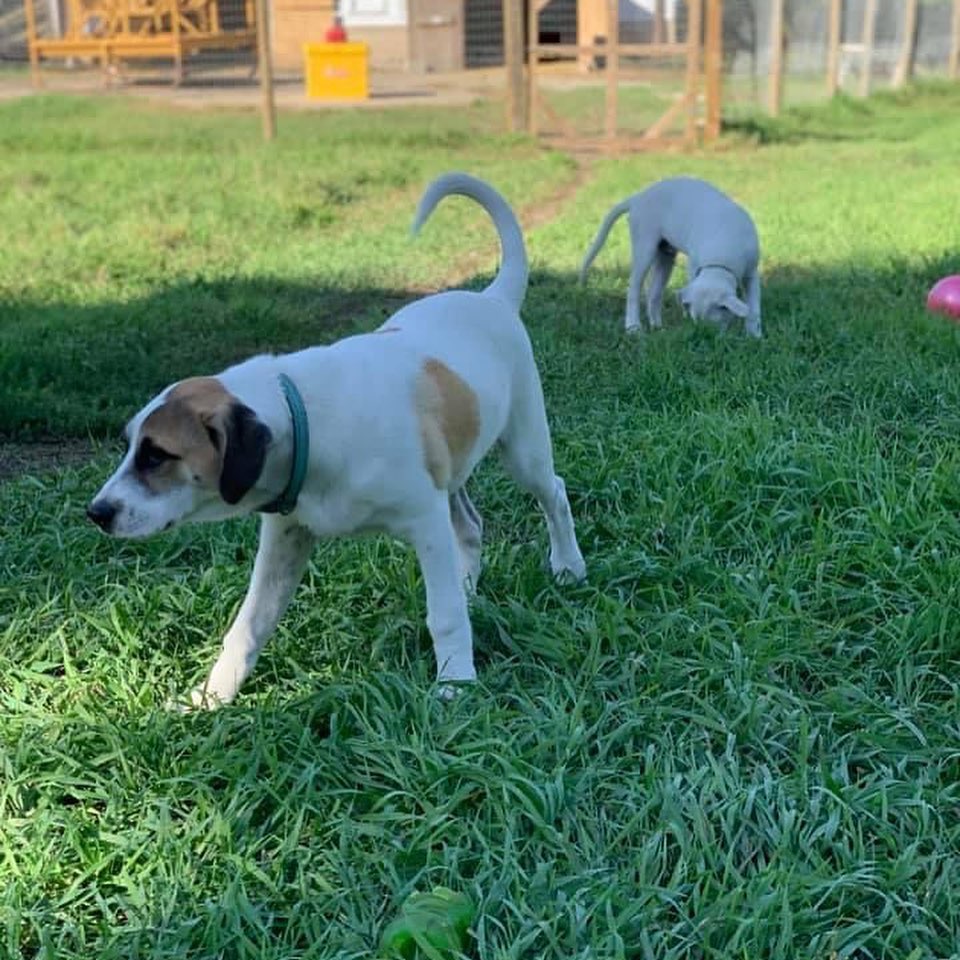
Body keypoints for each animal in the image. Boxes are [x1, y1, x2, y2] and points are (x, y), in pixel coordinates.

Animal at [88, 174, 584, 704]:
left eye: (157, 455)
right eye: (129, 446)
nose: (96, 512)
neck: (303, 414)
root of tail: (491, 298)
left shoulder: (424, 520)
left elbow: (444, 615)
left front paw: (455, 684)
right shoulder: (285, 538)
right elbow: (248, 627)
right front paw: (211, 697)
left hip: (523, 447)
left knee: (553, 493)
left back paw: (568, 567)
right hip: (448, 472)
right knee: (469, 526)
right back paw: (470, 586)